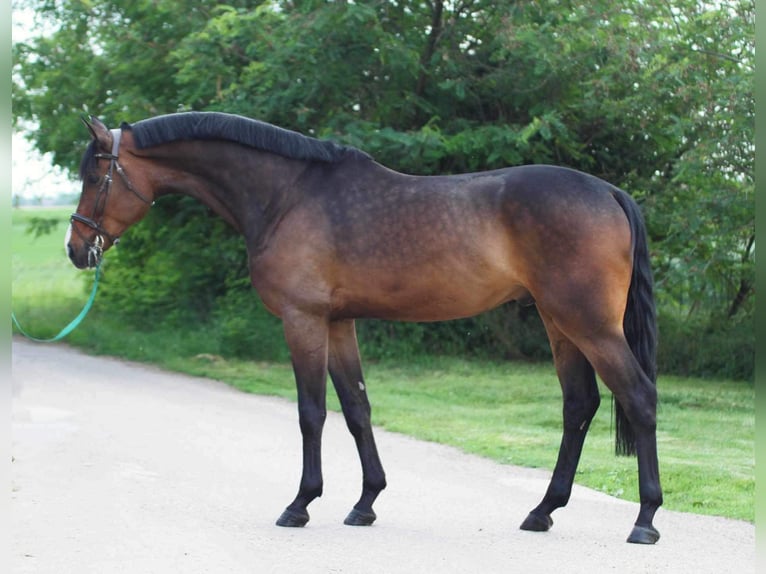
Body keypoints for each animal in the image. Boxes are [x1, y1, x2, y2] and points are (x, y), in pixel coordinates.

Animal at [66, 111, 664, 544]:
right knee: (579, 404)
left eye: (95, 175)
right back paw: (542, 511)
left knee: (637, 396)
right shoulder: (338, 323)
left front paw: (300, 504)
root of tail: (609, 192)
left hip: (589, 324)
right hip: (559, 323)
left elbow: (311, 413)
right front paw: (365, 503)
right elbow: (356, 408)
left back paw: (645, 519)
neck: (288, 195)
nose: (77, 248)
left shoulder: (303, 321)